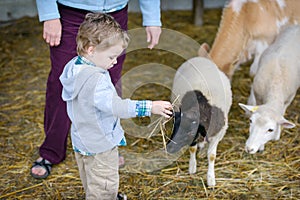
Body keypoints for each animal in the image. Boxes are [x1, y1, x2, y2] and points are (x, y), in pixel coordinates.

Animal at [166, 49, 232, 186]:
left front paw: (211, 179)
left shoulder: (219, 133)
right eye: (174, 127)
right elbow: (192, 149)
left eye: (190, 131)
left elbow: (211, 156)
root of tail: (201, 59)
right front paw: (192, 167)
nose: (169, 148)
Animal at [239, 24, 300, 153]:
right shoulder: (258, 95)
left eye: (270, 130)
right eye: (250, 121)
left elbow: (282, 113)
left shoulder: (289, 98)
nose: (249, 149)